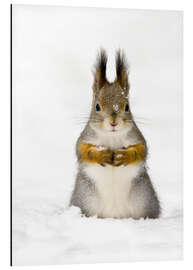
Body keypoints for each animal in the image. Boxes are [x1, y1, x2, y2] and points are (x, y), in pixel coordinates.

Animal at [69, 49, 160, 219]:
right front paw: (101, 154)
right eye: (97, 107)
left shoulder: (137, 137)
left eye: (127, 106)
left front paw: (125, 156)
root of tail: (115, 216)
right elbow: (82, 150)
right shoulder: (85, 137)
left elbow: (142, 150)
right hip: (85, 199)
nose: (113, 122)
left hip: (144, 199)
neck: (111, 136)